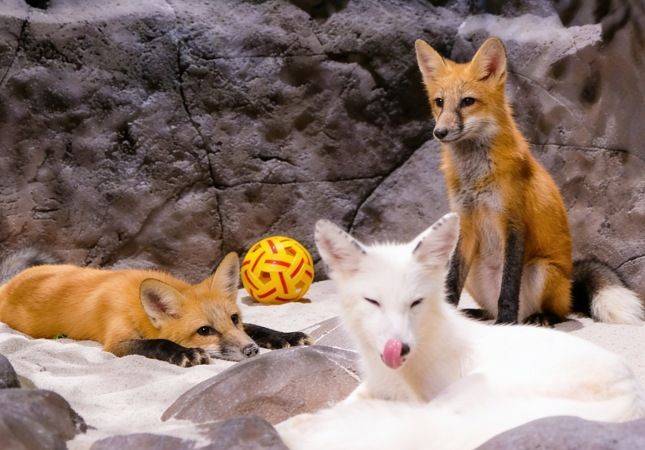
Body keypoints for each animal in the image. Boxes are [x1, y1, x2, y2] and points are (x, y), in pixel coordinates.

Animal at [0, 250, 310, 367]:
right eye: (204, 331)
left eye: (234, 318)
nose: (251, 351)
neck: (136, 302)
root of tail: (10, 284)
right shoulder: (116, 342)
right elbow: (157, 343)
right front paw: (185, 353)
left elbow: (256, 327)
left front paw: (285, 336)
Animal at [276, 214, 645, 450]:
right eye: (373, 301)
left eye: (415, 303)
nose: (399, 348)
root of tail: (631, 394)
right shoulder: (374, 386)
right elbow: (343, 403)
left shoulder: (423, 399)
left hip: (466, 389)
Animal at [413, 37, 643, 326]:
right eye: (439, 102)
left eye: (467, 101)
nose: (439, 132)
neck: (476, 177)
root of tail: (569, 282)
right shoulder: (465, 221)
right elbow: (452, 281)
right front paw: (448, 315)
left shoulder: (513, 221)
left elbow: (509, 287)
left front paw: (506, 323)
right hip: (477, 271)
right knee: (490, 307)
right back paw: (478, 315)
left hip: (541, 269)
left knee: (561, 313)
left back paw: (537, 318)